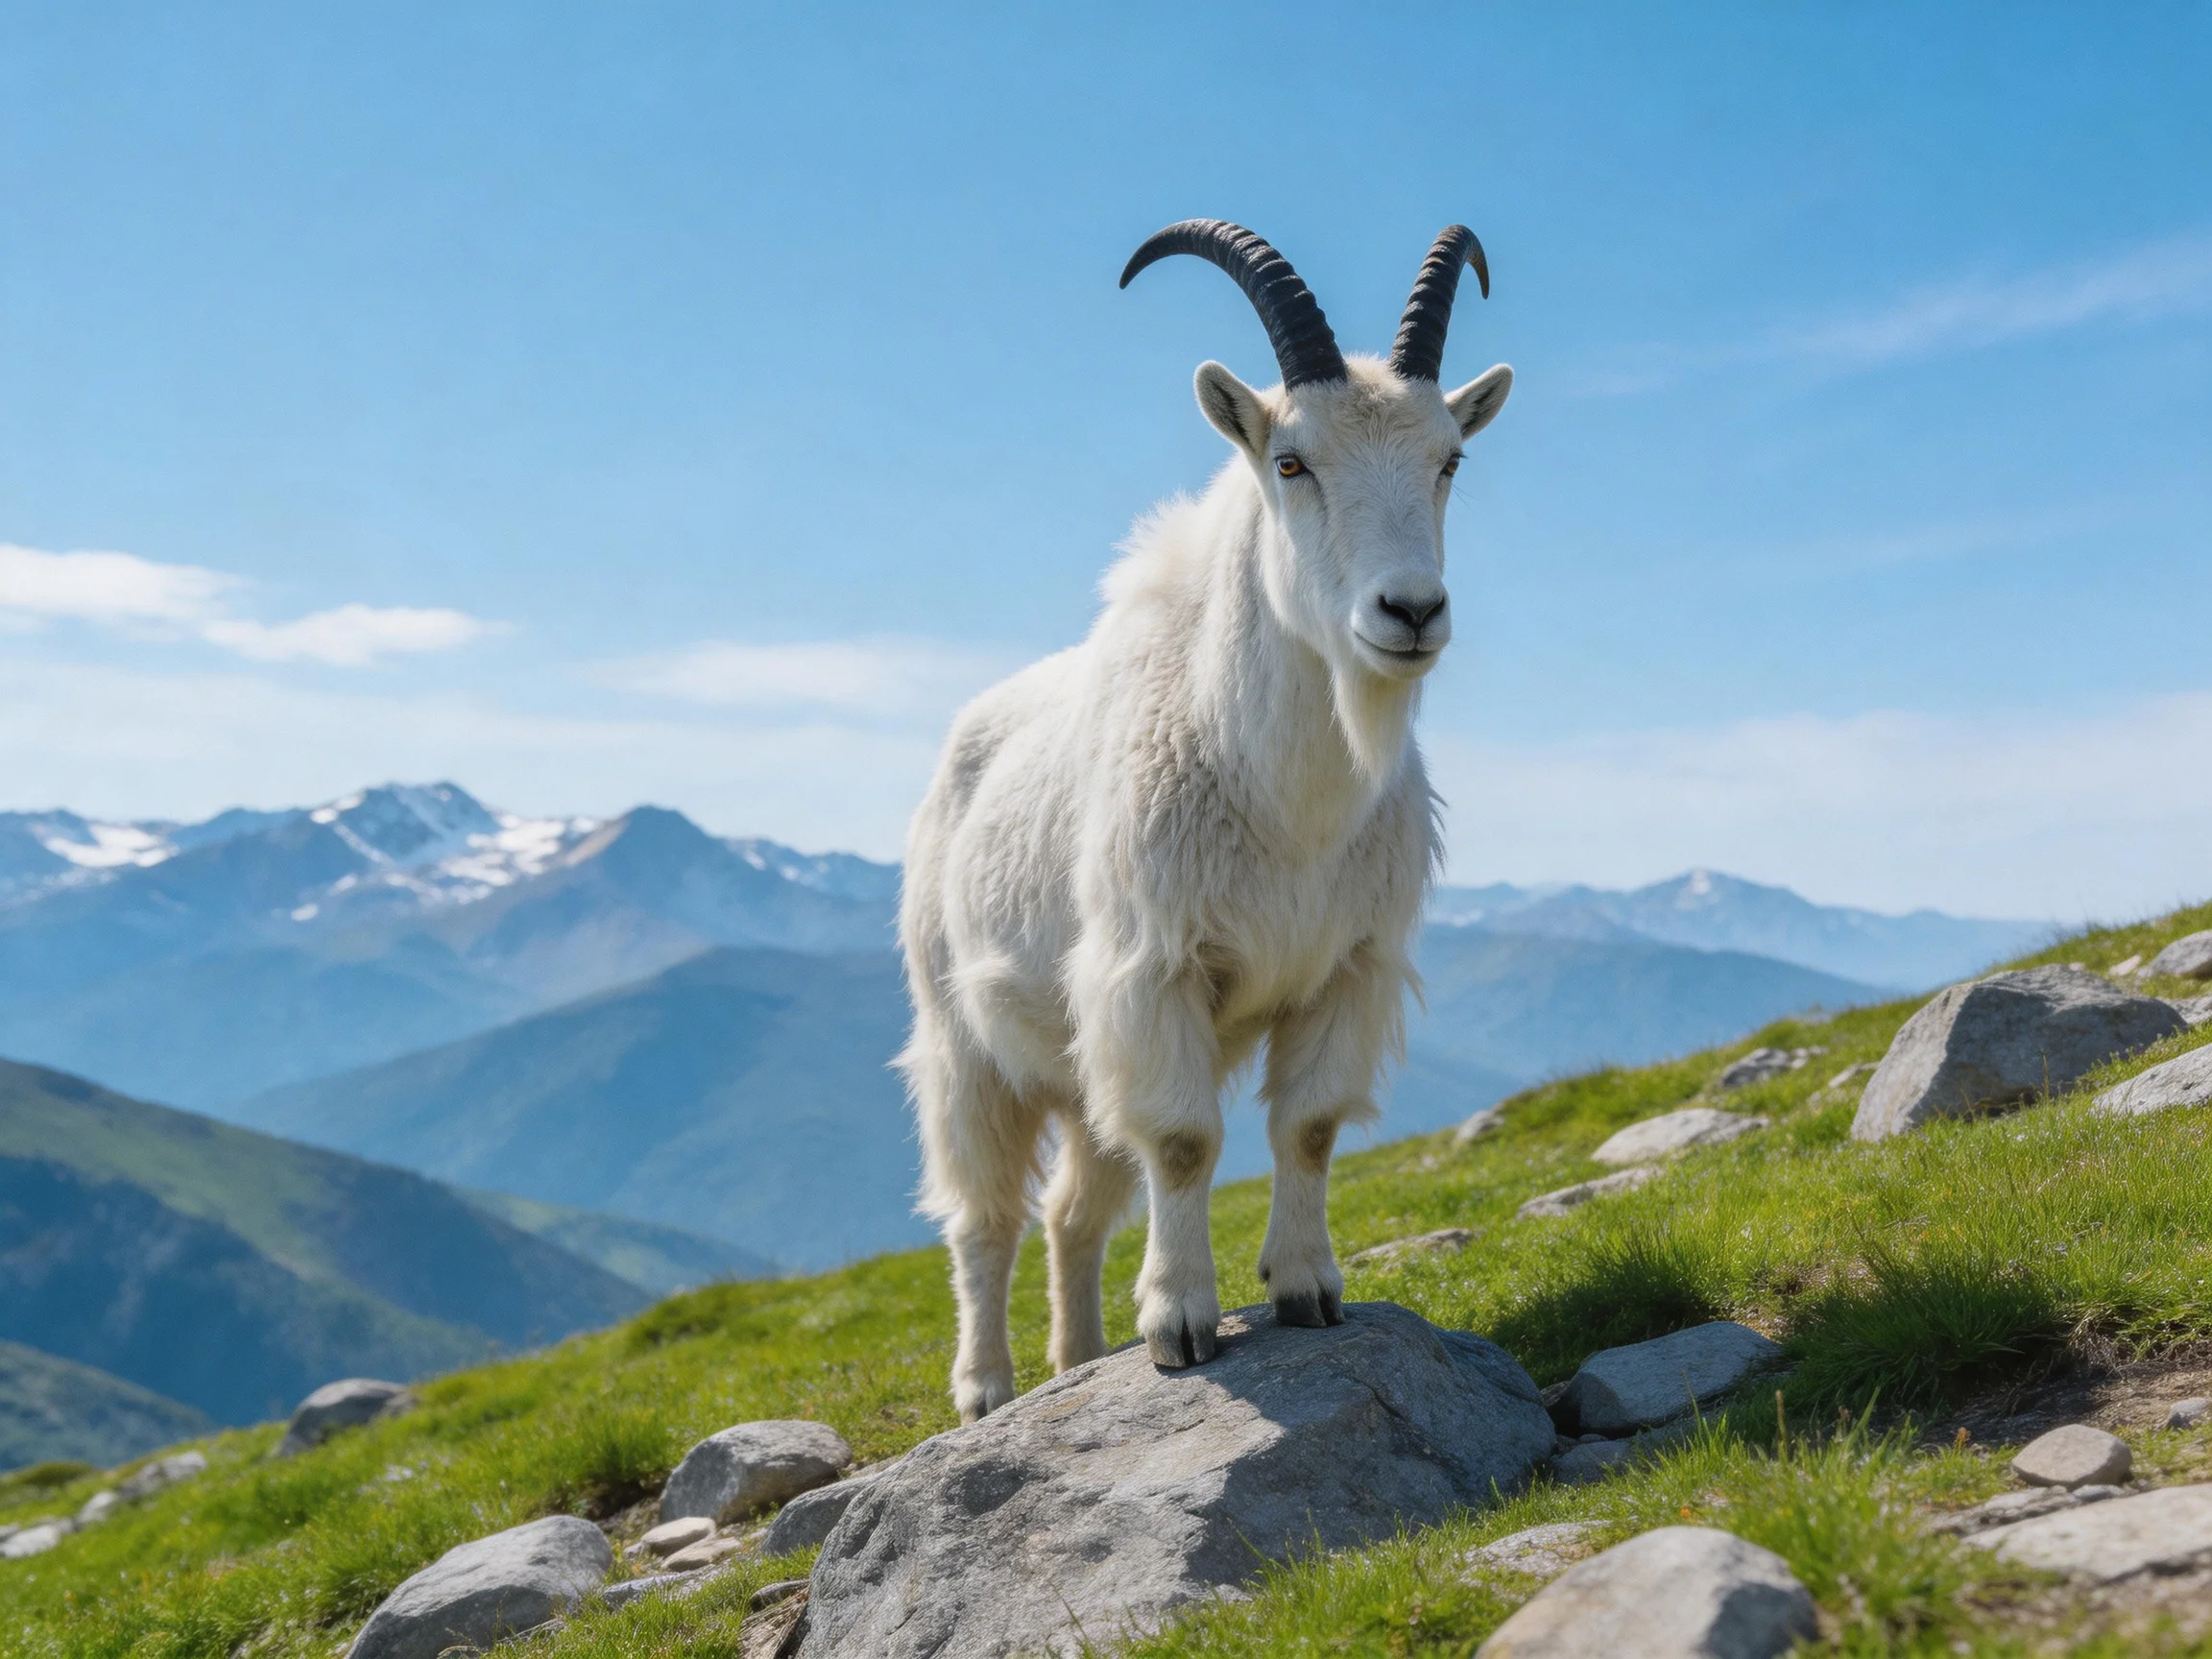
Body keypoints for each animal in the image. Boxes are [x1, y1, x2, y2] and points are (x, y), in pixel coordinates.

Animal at [899, 221, 1513, 1421]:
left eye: (1449, 461)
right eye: (1293, 462)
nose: (1411, 612)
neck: (1288, 802)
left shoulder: (1345, 968)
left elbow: (1306, 1126)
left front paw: (1308, 1290)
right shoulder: (1154, 969)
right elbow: (1184, 1144)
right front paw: (1182, 1327)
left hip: (1079, 1056)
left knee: (1073, 1209)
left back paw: (1077, 1360)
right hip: (965, 1044)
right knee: (985, 1215)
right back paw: (987, 1389)